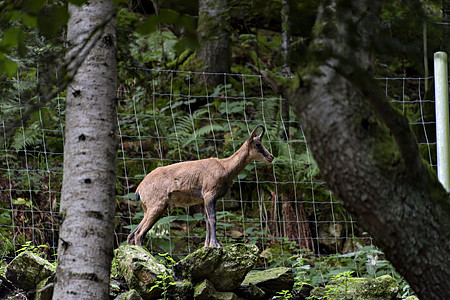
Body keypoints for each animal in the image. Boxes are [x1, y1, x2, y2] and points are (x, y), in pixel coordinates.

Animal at [126, 125, 274, 247]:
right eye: (257, 144)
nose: (271, 157)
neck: (225, 168)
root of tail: (140, 188)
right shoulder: (209, 195)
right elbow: (212, 219)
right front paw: (216, 245)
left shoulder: (207, 199)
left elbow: (207, 221)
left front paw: (207, 245)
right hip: (156, 206)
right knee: (139, 234)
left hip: (150, 209)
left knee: (132, 234)